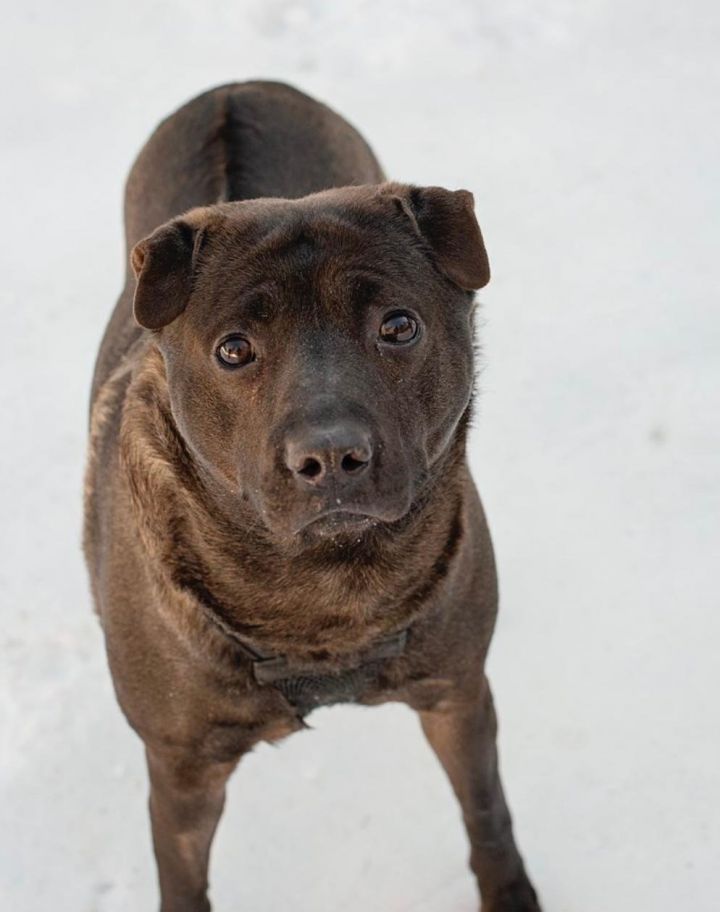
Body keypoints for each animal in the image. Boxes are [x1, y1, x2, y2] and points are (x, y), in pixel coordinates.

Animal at [84, 80, 540, 912]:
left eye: (399, 324)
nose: (330, 456)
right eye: (234, 348)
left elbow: (486, 808)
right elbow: (182, 878)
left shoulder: (458, 693)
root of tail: (237, 87)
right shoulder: (182, 770)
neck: (323, 590)